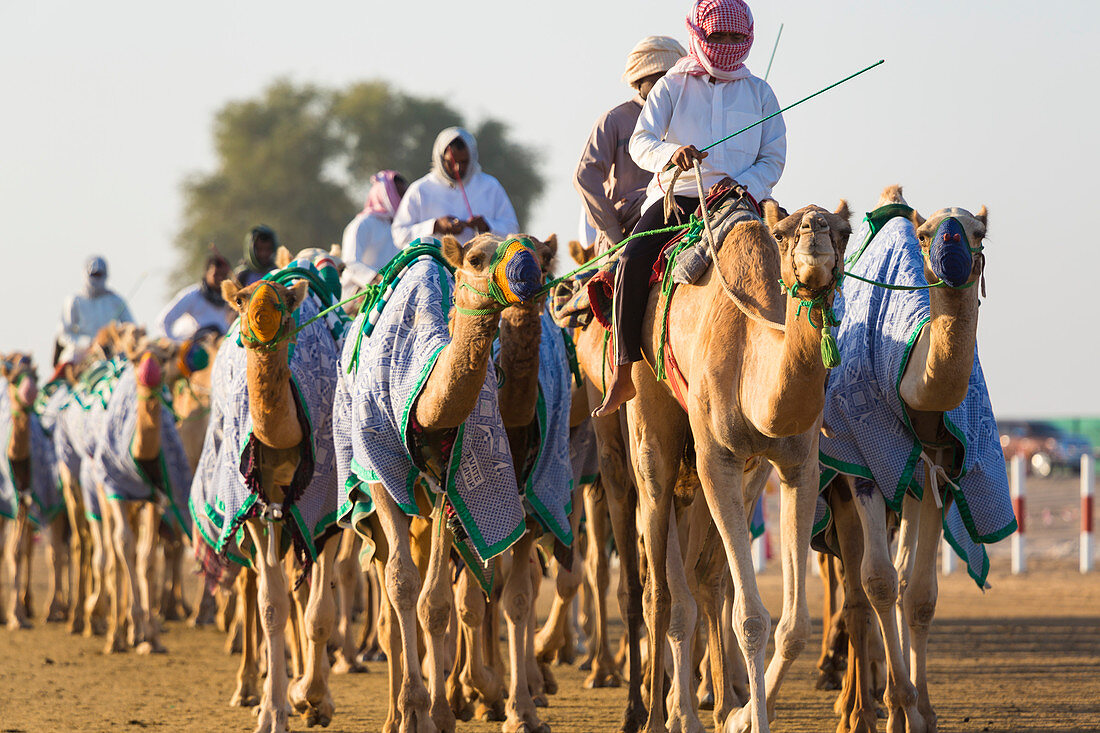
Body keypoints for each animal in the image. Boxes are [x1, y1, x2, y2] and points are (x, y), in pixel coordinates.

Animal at [818, 187, 1007, 730]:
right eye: (925, 234)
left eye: (979, 231)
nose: (951, 254)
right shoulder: (866, 466)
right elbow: (878, 583)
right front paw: (898, 706)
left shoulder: (939, 472)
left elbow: (919, 594)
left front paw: (922, 711)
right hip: (836, 486)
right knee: (855, 589)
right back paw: (856, 709)